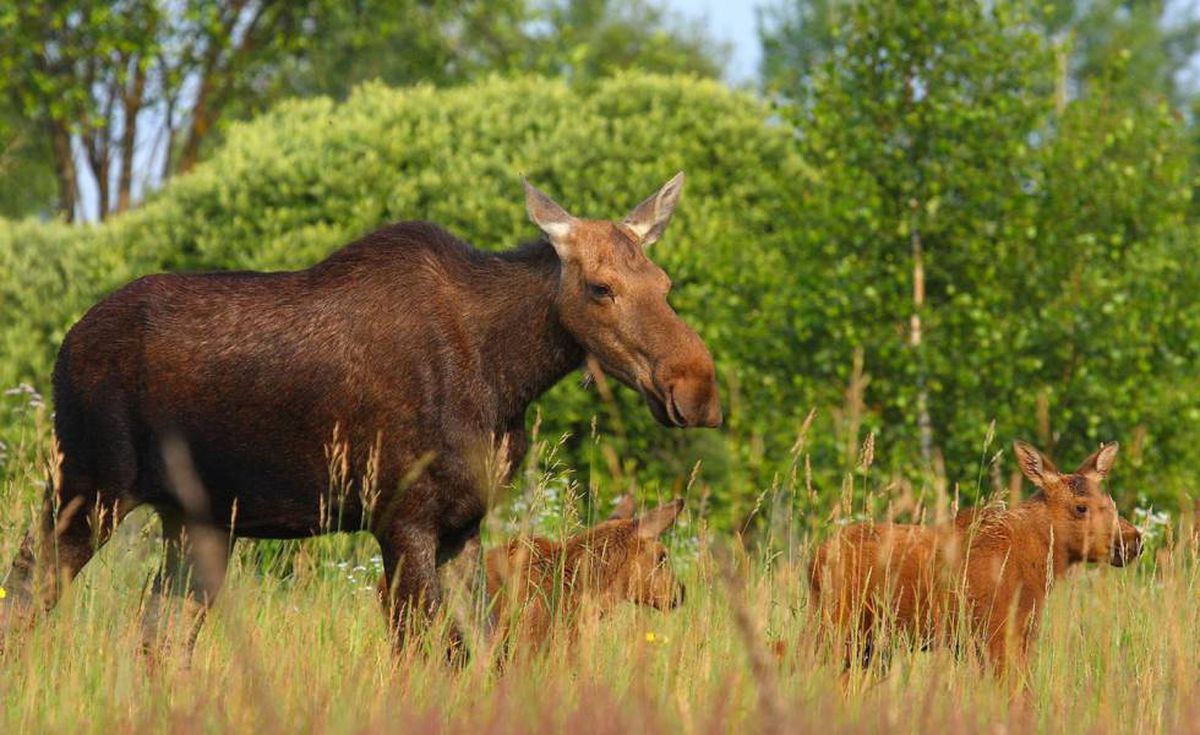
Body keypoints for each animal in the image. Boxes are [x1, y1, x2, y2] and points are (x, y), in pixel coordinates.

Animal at [0, 174, 720, 653]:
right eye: (600, 287)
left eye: (664, 284)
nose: (697, 387)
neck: (507, 378)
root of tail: (66, 345)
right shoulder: (401, 518)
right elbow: (431, 650)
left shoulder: (463, 525)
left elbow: (482, 648)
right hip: (88, 487)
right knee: (29, 592)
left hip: (194, 517)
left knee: (159, 633)